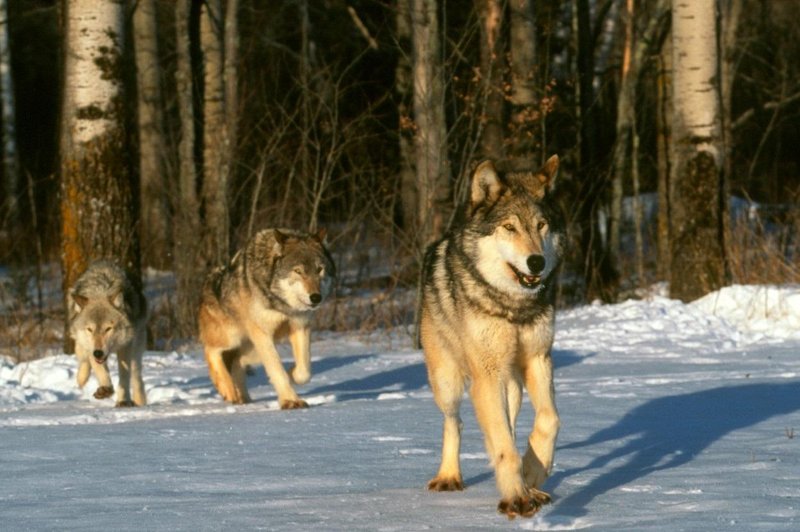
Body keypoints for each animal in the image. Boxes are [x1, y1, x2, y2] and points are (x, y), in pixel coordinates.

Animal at [69, 260, 148, 408]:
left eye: (108, 329)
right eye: (90, 329)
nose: (98, 353)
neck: (100, 292)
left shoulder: (126, 346)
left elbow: (124, 376)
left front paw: (123, 401)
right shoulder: (91, 348)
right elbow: (100, 370)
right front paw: (106, 389)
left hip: (137, 348)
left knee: (136, 377)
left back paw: (140, 401)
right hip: (82, 345)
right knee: (83, 358)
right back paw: (81, 378)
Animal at [200, 228, 338, 408]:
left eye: (319, 269)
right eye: (298, 271)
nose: (316, 297)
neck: (281, 303)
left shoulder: (300, 326)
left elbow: (304, 371)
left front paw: (291, 374)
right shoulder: (263, 334)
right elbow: (276, 369)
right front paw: (290, 401)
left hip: (252, 348)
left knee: (237, 362)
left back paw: (242, 399)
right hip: (233, 338)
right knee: (211, 351)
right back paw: (228, 390)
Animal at [418, 155, 564, 520]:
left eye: (541, 225)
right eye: (509, 228)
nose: (536, 261)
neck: (513, 306)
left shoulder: (539, 360)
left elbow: (549, 421)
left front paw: (532, 475)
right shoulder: (486, 374)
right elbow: (503, 446)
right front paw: (517, 497)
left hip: (511, 387)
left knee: (508, 426)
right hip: (448, 382)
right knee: (454, 422)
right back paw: (449, 477)